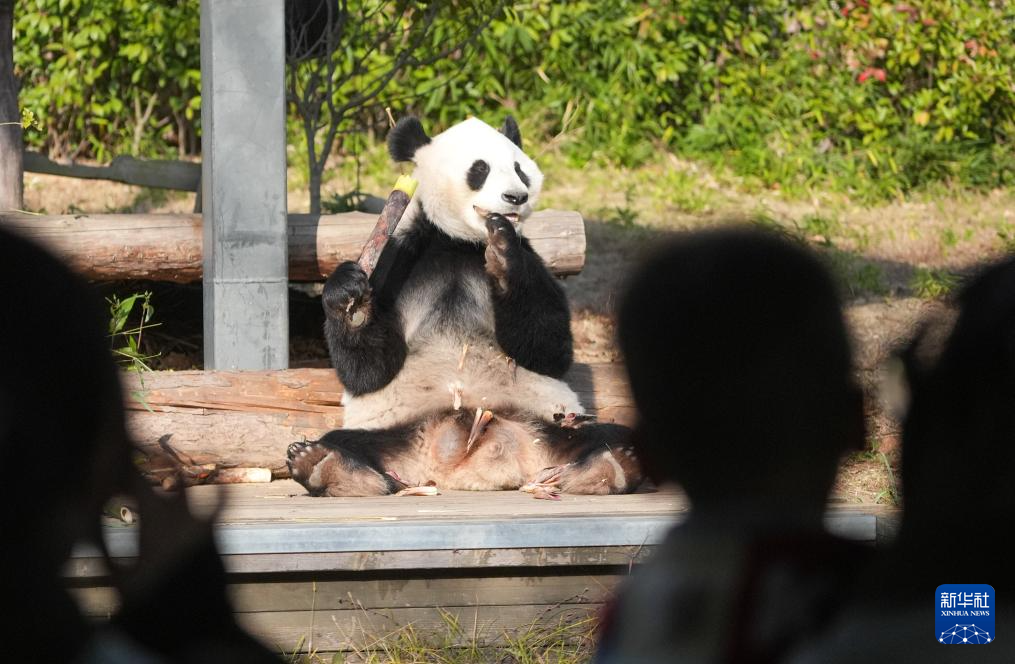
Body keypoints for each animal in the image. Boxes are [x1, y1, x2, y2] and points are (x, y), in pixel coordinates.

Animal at [284, 115, 641, 499]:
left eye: (519, 169)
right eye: (479, 169)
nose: (516, 196)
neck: (461, 241)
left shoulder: (533, 260)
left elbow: (549, 349)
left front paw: (503, 255)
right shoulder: (400, 256)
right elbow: (368, 372)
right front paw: (350, 297)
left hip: (549, 424)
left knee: (607, 435)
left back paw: (613, 465)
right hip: (400, 430)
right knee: (348, 441)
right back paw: (323, 465)